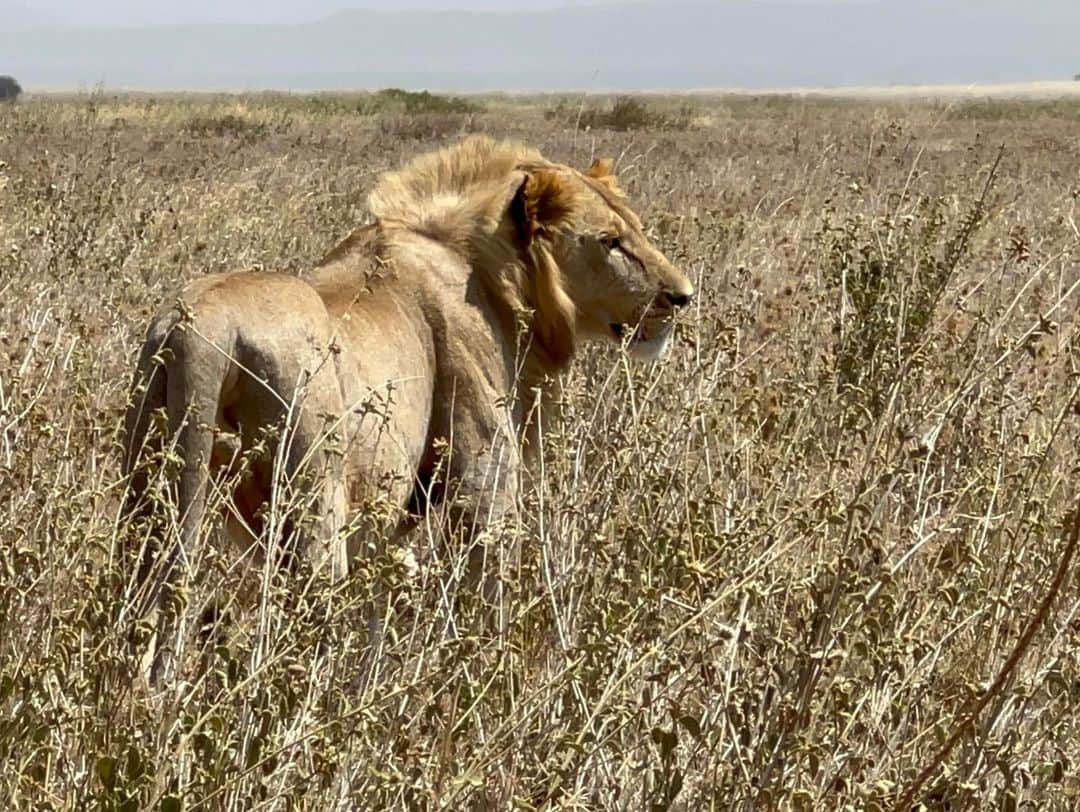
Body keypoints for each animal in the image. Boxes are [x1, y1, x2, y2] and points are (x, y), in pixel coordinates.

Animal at [122, 136, 695, 682]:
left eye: (636, 230)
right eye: (611, 242)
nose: (683, 296)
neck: (500, 277)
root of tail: (203, 325)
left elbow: (379, 610)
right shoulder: (483, 479)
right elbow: (490, 588)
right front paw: (488, 671)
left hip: (150, 495)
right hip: (313, 503)